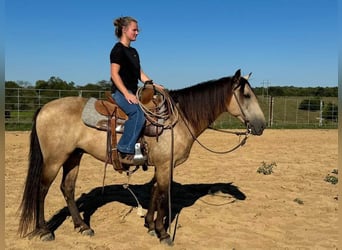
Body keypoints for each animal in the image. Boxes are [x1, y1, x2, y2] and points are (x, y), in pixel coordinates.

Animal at [17, 69, 266, 245]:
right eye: (246, 95)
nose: (261, 125)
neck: (179, 119)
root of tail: (44, 108)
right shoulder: (166, 165)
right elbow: (164, 194)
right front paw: (164, 233)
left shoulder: (161, 165)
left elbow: (155, 192)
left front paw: (150, 226)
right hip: (54, 159)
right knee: (42, 189)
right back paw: (44, 230)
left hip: (73, 157)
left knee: (67, 188)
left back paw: (83, 226)